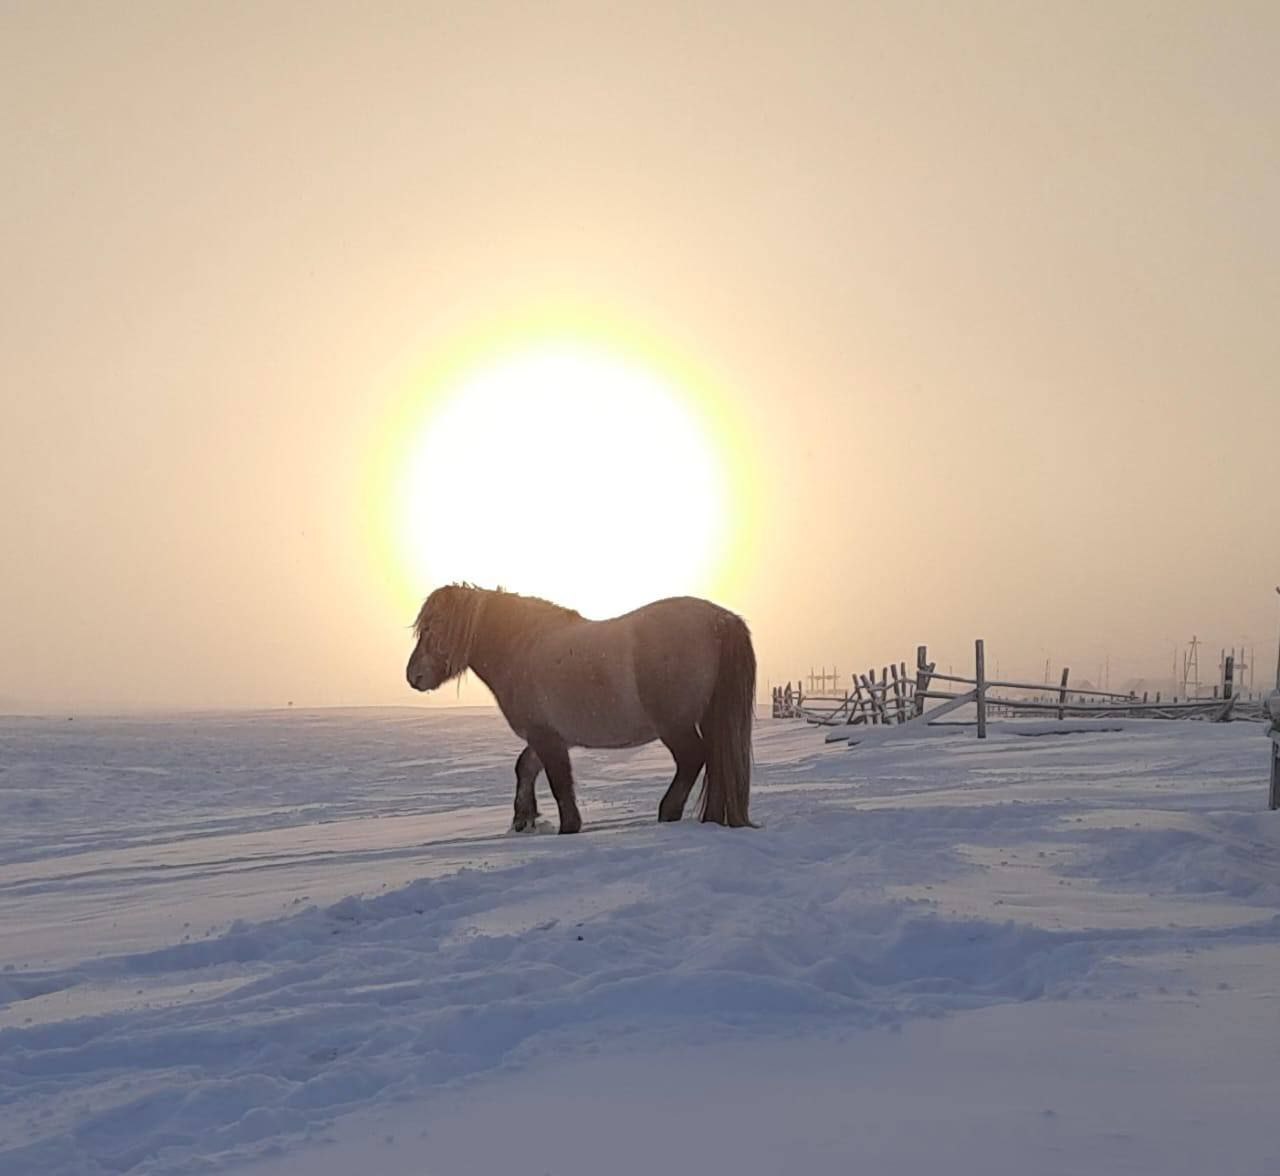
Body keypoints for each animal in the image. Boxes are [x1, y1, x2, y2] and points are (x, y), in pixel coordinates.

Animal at [405, 585, 755, 833]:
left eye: (433, 629)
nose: (413, 676)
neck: (523, 648)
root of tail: (719, 619)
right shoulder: (549, 736)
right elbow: (525, 768)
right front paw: (524, 820)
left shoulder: (546, 737)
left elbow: (559, 782)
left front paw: (568, 826)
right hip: (707, 719)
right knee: (714, 761)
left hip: (675, 726)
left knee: (693, 758)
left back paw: (668, 812)